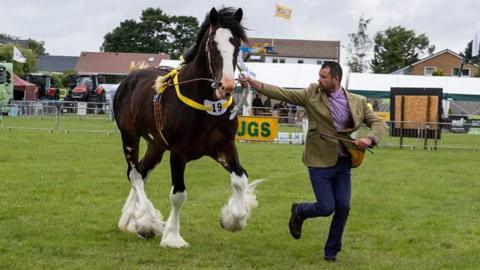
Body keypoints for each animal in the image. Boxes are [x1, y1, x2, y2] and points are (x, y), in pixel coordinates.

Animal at [113, 7, 260, 248]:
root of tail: (131, 77)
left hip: (156, 145)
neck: (205, 106)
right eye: (213, 44)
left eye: (237, 44)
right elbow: (178, 195)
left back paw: (131, 220)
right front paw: (173, 236)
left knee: (142, 172)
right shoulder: (178, 153)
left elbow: (240, 179)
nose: (227, 86)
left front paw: (232, 219)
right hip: (129, 136)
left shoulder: (224, 147)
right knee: (134, 174)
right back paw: (146, 220)